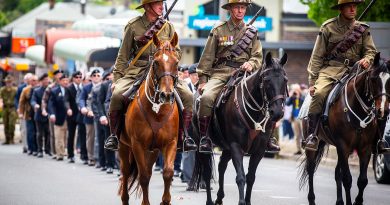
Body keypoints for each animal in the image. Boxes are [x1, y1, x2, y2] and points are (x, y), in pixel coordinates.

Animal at [119, 33, 180, 205]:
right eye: (156, 62)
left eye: (176, 62)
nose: (167, 95)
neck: (157, 111)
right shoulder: (137, 144)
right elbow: (144, 177)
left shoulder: (170, 143)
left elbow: (168, 172)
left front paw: (166, 201)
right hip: (124, 146)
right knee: (126, 172)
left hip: (152, 151)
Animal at [187, 52, 288, 204]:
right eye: (266, 79)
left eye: (285, 80)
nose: (277, 113)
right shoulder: (236, 146)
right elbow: (241, 177)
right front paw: (241, 201)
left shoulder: (259, 150)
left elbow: (251, 177)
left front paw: (248, 201)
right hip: (203, 145)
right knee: (207, 172)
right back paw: (210, 200)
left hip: (227, 148)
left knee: (221, 165)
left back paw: (219, 197)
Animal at [300, 52, 390, 205]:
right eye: (373, 79)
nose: (383, 111)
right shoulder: (343, 146)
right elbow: (347, 179)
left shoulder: (364, 149)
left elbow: (362, 180)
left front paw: (357, 201)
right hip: (314, 146)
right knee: (311, 170)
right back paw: (312, 199)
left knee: (337, 173)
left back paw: (339, 201)